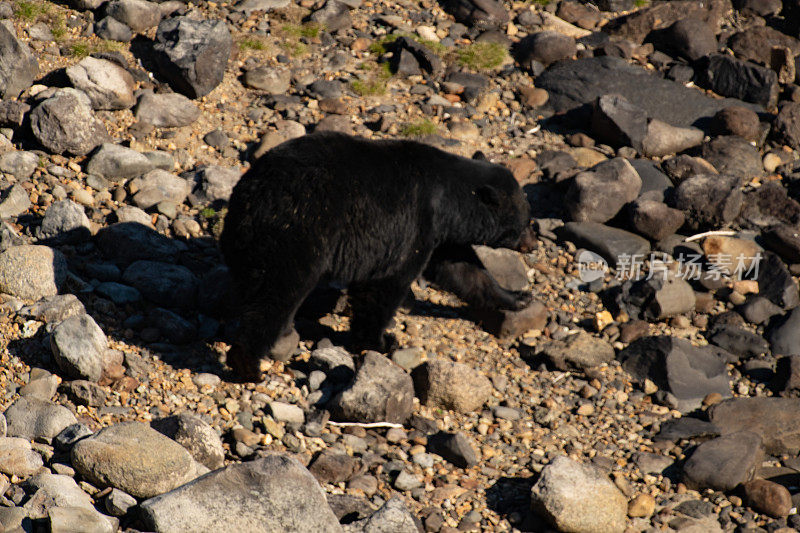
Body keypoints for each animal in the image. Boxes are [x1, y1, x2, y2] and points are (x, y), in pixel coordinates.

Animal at [220, 131, 532, 378]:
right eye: (522, 224)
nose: (533, 241)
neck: (448, 199)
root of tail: (255, 196)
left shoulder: (439, 235)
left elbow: (463, 269)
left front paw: (519, 297)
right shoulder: (414, 223)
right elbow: (387, 283)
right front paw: (381, 341)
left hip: (246, 241)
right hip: (299, 234)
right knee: (277, 294)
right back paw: (248, 364)